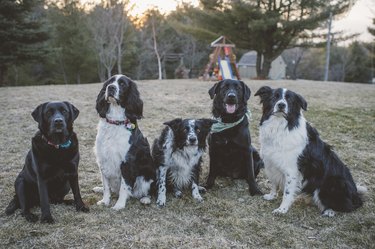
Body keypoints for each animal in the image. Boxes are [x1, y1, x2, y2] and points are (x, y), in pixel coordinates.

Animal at [94, 74, 156, 210]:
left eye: (122, 84)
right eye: (110, 82)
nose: (111, 88)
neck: (115, 122)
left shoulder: (127, 161)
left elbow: (124, 186)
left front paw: (119, 205)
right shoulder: (103, 159)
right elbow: (106, 186)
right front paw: (105, 201)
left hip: (146, 176)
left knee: (150, 189)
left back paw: (145, 199)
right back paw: (98, 189)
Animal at [256, 86, 368, 217]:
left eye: (289, 100)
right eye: (275, 97)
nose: (281, 105)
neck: (280, 126)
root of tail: (355, 195)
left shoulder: (292, 170)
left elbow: (287, 192)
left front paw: (282, 209)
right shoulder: (271, 163)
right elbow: (274, 183)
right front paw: (272, 196)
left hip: (332, 183)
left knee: (348, 206)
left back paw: (329, 211)